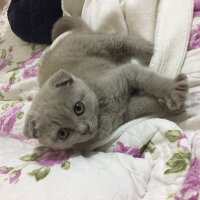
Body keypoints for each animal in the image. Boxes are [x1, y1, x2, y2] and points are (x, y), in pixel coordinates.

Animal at [23, 15, 188, 152]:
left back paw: (150, 50)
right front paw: (168, 108)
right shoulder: (124, 114)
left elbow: (150, 80)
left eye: (78, 108)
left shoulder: (126, 73)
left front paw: (172, 91)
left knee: (123, 41)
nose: (85, 129)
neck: (103, 109)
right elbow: (144, 104)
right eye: (62, 133)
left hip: (98, 43)